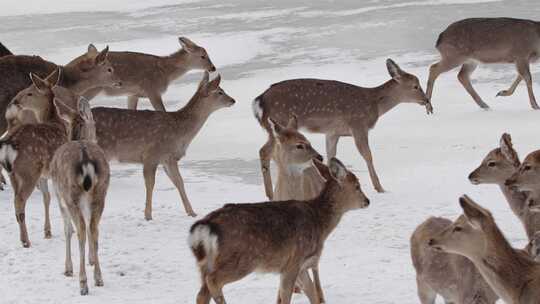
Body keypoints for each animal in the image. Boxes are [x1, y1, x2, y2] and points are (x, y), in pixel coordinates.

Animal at [0, 70, 82, 248]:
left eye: (30, 92)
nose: (15, 101)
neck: (55, 123)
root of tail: (9, 144)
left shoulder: (44, 174)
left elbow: (47, 198)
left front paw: (48, 231)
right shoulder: (58, 171)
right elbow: (60, 199)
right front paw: (71, 229)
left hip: (15, 173)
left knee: (16, 200)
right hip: (28, 170)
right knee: (20, 200)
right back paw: (25, 240)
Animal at [50, 96, 110, 296]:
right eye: (94, 122)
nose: (97, 136)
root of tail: (85, 160)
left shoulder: (59, 198)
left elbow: (67, 230)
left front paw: (68, 269)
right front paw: (91, 260)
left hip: (71, 195)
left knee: (81, 231)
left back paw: (83, 283)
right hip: (100, 193)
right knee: (94, 229)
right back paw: (98, 278)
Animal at [82, 36, 215, 110]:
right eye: (203, 56)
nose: (213, 68)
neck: (165, 72)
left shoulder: (133, 94)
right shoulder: (152, 90)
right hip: (91, 90)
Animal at [188, 158, 370, 304]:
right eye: (357, 186)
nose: (367, 201)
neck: (319, 222)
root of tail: (205, 226)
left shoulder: (301, 265)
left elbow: (313, 295)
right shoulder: (294, 261)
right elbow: (287, 297)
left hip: (206, 263)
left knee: (201, 294)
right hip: (242, 258)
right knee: (213, 281)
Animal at [253, 58, 430, 195]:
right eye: (415, 86)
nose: (426, 100)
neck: (374, 105)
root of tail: (259, 101)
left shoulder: (333, 132)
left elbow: (331, 155)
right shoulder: (358, 124)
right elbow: (368, 155)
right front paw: (380, 188)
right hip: (279, 123)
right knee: (265, 152)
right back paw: (270, 194)